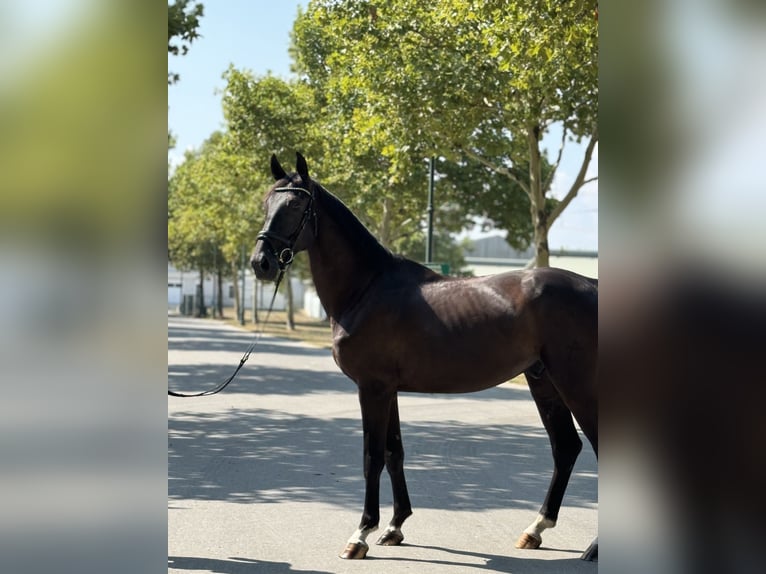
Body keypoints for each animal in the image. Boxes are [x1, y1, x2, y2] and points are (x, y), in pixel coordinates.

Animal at [252, 153, 600, 564]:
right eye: (266, 203)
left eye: (295, 206)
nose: (261, 263)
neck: (368, 288)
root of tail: (593, 285)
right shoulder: (389, 389)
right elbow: (394, 452)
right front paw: (394, 527)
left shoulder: (372, 388)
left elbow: (372, 456)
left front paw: (360, 534)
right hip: (543, 380)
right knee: (566, 447)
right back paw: (535, 530)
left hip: (576, 383)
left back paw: (593, 546)